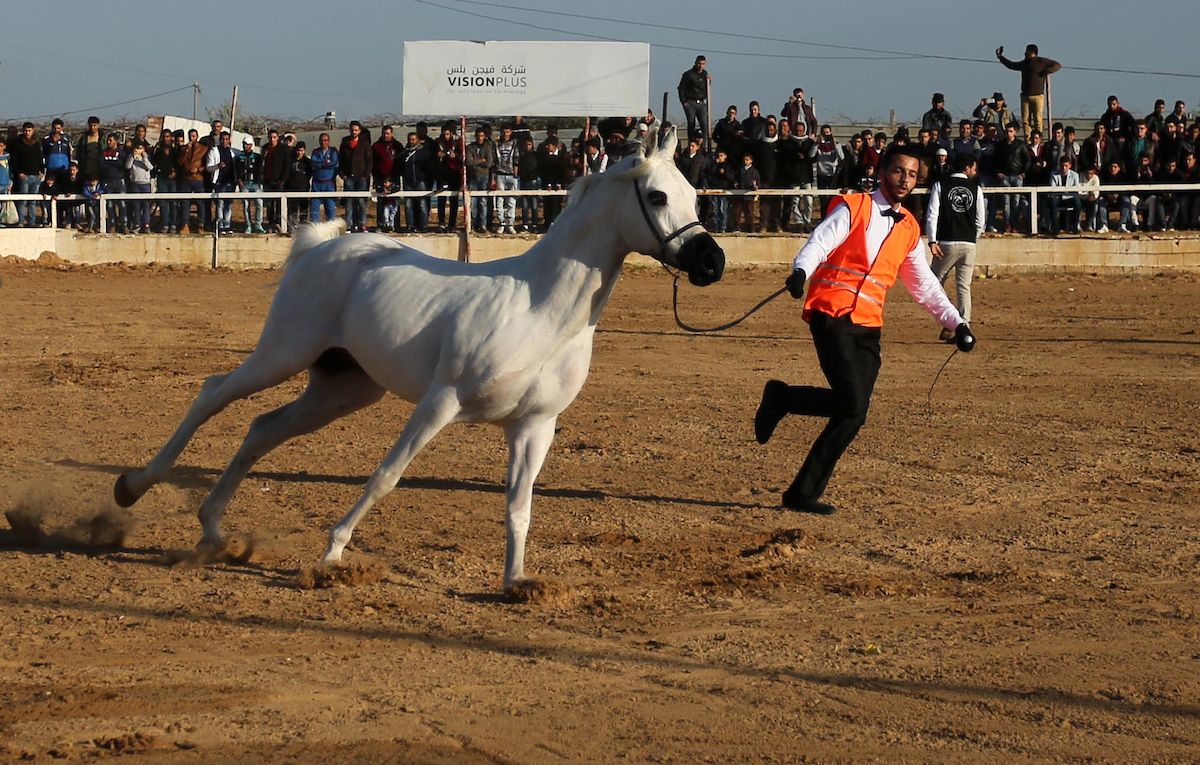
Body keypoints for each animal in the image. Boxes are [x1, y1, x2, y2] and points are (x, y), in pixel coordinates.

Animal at [112, 128, 720, 589]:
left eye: (694, 193)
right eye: (657, 196)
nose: (711, 261)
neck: (539, 311)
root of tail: (322, 245)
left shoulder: (534, 426)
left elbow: (519, 505)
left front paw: (516, 582)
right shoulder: (439, 403)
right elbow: (387, 476)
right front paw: (331, 556)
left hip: (340, 389)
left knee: (262, 429)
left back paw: (213, 531)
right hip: (282, 353)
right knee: (213, 394)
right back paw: (133, 487)